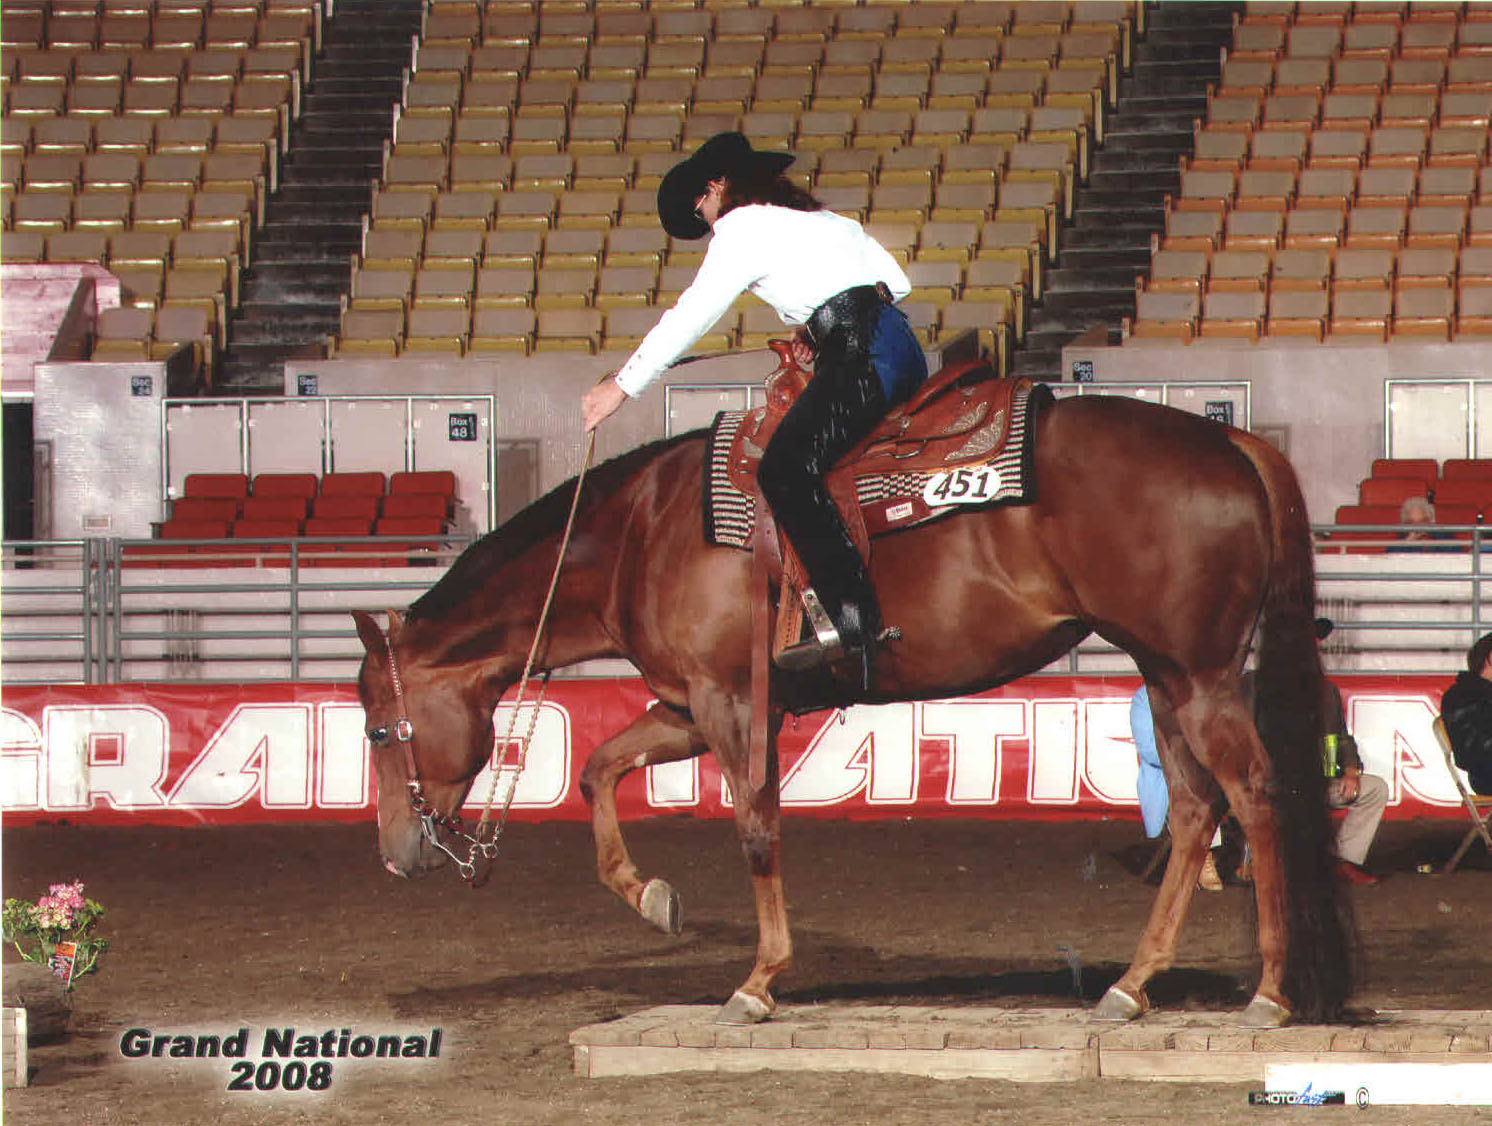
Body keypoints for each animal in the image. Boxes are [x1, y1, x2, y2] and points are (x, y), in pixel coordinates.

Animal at [358, 393, 1354, 1032]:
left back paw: (1269, 993)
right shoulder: (687, 702)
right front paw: (651, 898)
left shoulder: (730, 702)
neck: (644, 531)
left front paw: (758, 981)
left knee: (1254, 795)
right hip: (1162, 673)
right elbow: (599, 769)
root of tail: (1231, 445)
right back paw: (1133, 985)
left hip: (1200, 673)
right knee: (1191, 810)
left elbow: (757, 830)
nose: (399, 855)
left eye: (376, 728)